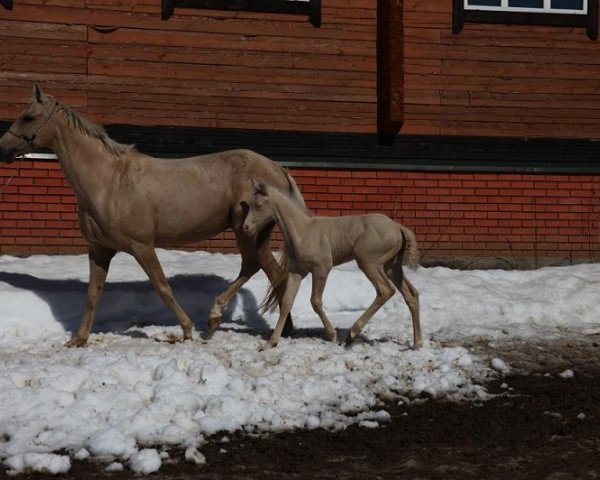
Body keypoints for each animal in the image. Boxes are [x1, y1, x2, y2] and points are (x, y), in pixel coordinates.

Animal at [0, 82, 302, 344]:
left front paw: (187, 330)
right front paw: (79, 339)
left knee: (252, 266)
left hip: (245, 230)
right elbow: (92, 295)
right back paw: (283, 328)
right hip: (256, 233)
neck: (108, 181)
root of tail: (277, 168)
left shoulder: (142, 246)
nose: (2, 148)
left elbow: (163, 287)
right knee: (273, 271)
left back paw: (215, 317)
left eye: (28, 116)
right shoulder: (99, 249)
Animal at [240, 182, 422, 350]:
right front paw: (270, 343)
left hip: (369, 263)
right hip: (391, 267)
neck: (302, 232)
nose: (246, 228)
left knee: (385, 290)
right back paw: (417, 343)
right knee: (411, 294)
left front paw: (333, 335)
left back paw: (352, 334)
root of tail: (397, 227)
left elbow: (315, 301)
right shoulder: (297, 271)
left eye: (258, 205)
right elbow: (286, 303)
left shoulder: (321, 269)